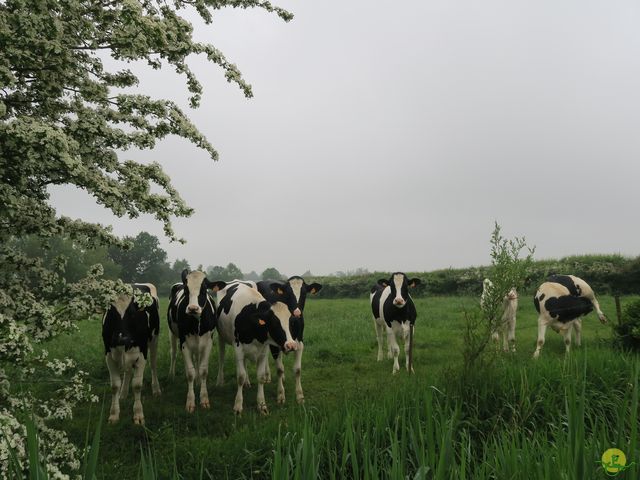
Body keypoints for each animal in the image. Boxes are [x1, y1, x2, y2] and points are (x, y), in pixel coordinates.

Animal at [101, 284, 160, 426]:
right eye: (111, 314)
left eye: (132, 313)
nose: (122, 338)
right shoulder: (109, 356)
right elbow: (114, 386)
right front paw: (114, 414)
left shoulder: (141, 355)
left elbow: (137, 385)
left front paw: (138, 414)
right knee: (127, 371)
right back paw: (123, 394)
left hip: (154, 340)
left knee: (153, 364)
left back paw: (156, 389)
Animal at [169, 270, 226, 412]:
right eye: (186, 290)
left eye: (204, 289)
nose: (193, 308)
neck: (196, 324)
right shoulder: (184, 343)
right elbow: (190, 373)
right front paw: (190, 402)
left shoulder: (208, 343)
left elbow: (203, 370)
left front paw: (204, 399)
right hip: (172, 334)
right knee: (173, 353)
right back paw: (171, 375)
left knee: (197, 360)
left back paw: (198, 381)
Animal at [214, 284, 296, 414]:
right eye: (274, 323)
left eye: (290, 322)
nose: (291, 345)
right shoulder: (238, 349)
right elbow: (240, 377)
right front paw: (238, 405)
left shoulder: (263, 351)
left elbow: (261, 377)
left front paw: (262, 405)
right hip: (221, 337)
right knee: (221, 358)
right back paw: (219, 382)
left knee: (245, 363)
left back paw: (247, 382)